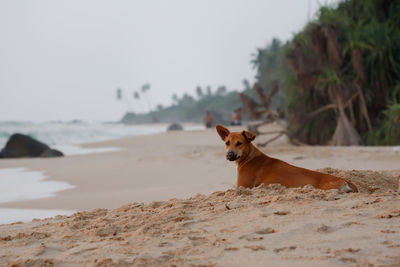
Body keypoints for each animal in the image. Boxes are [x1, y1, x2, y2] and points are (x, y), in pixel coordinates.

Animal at [217, 125, 358, 193]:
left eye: (239, 143)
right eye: (227, 143)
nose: (229, 154)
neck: (249, 157)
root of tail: (346, 180)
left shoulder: (243, 186)